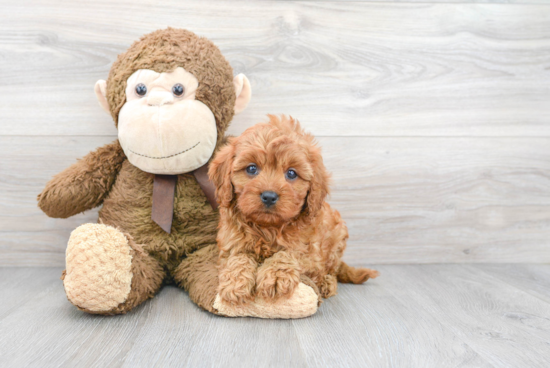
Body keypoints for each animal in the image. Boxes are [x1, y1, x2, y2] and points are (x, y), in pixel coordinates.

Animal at [208, 115, 380, 304]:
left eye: (291, 173)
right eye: (251, 168)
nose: (269, 196)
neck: (268, 228)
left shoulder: (310, 255)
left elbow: (288, 254)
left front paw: (275, 276)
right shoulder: (230, 245)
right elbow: (237, 257)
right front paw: (235, 281)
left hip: (337, 238)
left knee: (332, 270)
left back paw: (327, 283)